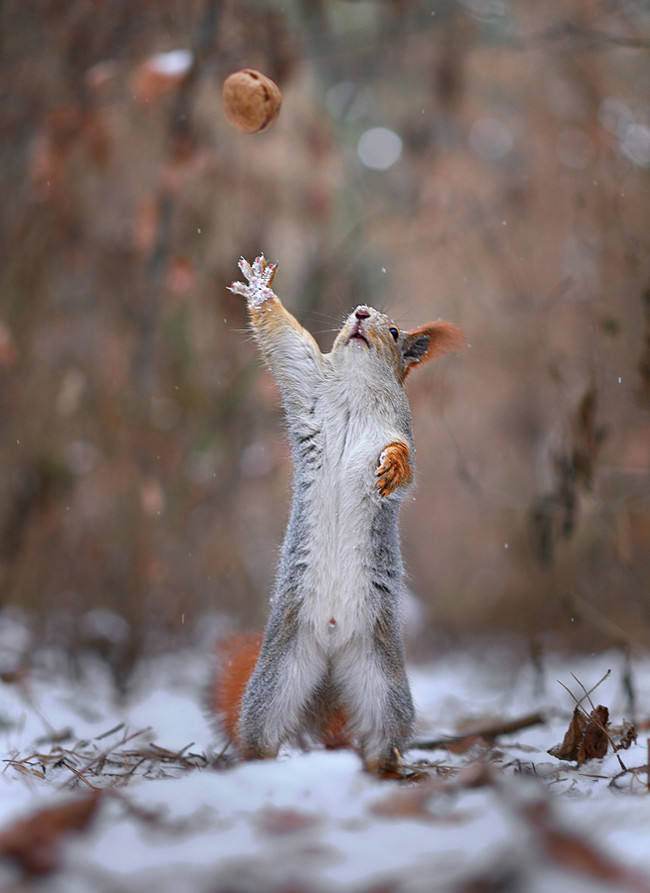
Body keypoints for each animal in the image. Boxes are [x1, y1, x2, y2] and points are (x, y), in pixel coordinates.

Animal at [210, 254, 464, 772]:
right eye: (353, 314)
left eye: (394, 331)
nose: (362, 314)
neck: (355, 386)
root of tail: (330, 649)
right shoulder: (306, 381)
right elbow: (285, 342)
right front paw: (261, 290)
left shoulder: (399, 429)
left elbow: (405, 460)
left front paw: (392, 469)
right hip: (279, 673)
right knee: (263, 730)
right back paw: (255, 765)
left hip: (381, 681)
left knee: (383, 736)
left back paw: (384, 771)